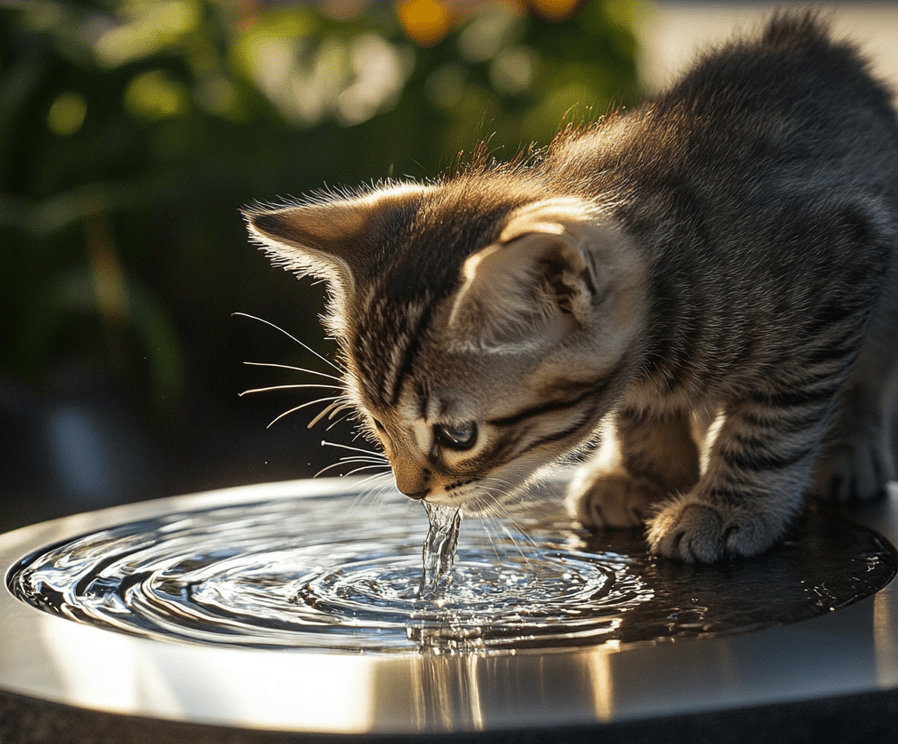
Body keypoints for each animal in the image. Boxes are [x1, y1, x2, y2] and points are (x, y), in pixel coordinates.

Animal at [245, 13, 896, 564]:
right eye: (378, 425)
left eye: (458, 435)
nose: (410, 491)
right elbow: (639, 410)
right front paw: (648, 471)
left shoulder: (841, 264)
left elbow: (774, 422)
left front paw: (727, 504)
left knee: (866, 374)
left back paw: (849, 451)